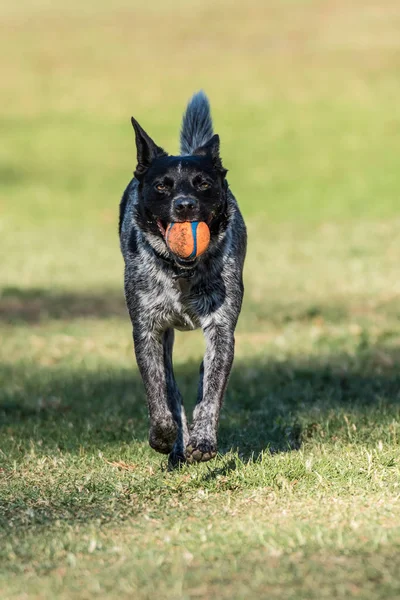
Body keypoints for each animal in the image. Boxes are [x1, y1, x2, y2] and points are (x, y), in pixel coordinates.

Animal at [118, 91, 247, 466]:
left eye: (203, 184)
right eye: (162, 186)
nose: (185, 205)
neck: (183, 274)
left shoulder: (221, 329)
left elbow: (210, 393)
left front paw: (203, 440)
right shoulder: (148, 329)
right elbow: (161, 393)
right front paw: (164, 435)